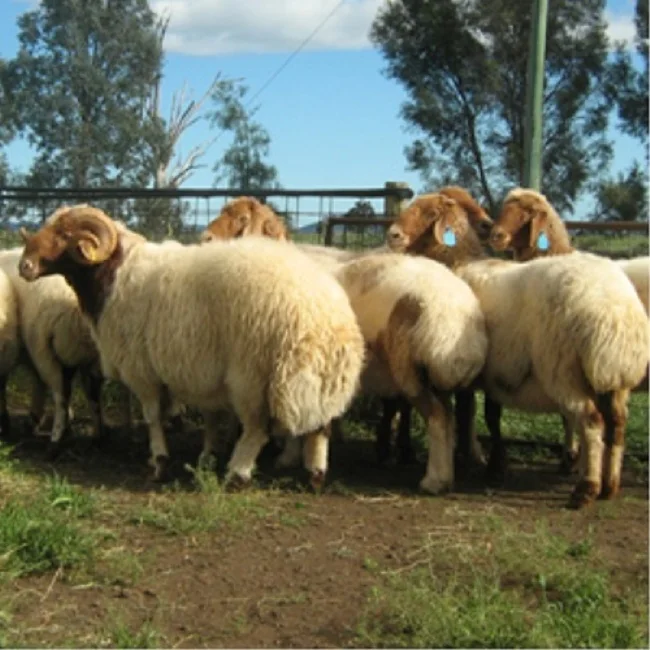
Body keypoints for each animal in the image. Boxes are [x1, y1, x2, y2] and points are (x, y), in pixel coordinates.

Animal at [18, 205, 366, 487]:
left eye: (65, 235)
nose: (24, 266)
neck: (113, 274)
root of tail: (323, 316)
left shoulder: (142, 371)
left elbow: (153, 417)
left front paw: (159, 463)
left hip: (252, 376)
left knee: (257, 428)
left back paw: (237, 474)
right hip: (320, 380)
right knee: (320, 427)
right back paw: (315, 475)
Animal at [386, 191, 649, 508]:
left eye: (429, 212)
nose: (393, 235)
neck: (461, 262)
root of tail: (615, 311)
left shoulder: (473, 370)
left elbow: (468, 414)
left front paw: (473, 462)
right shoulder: (494, 371)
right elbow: (485, 415)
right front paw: (492, 465)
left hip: (564, 369)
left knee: (591, 421)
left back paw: (585, 489)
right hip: (614, 377)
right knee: (617, 424)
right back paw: (609, 487)